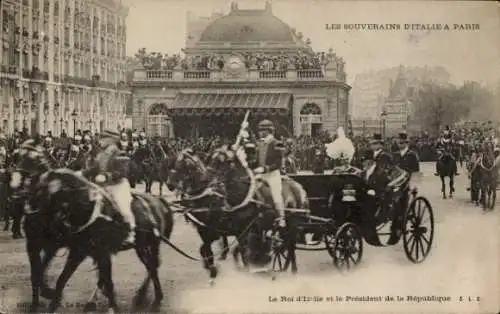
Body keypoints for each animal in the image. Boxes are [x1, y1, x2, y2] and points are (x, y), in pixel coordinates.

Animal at [9, 144, 176, 312]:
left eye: (31, 161)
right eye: (17, 157)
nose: (14, 189)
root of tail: (160, 202)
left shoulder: (85, 251)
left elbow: (65, 278)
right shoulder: (50, 246)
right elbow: (43, 274)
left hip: (150, 244)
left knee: (153, 266)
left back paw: (150, 298)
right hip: (141, 246)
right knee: (151, 266)